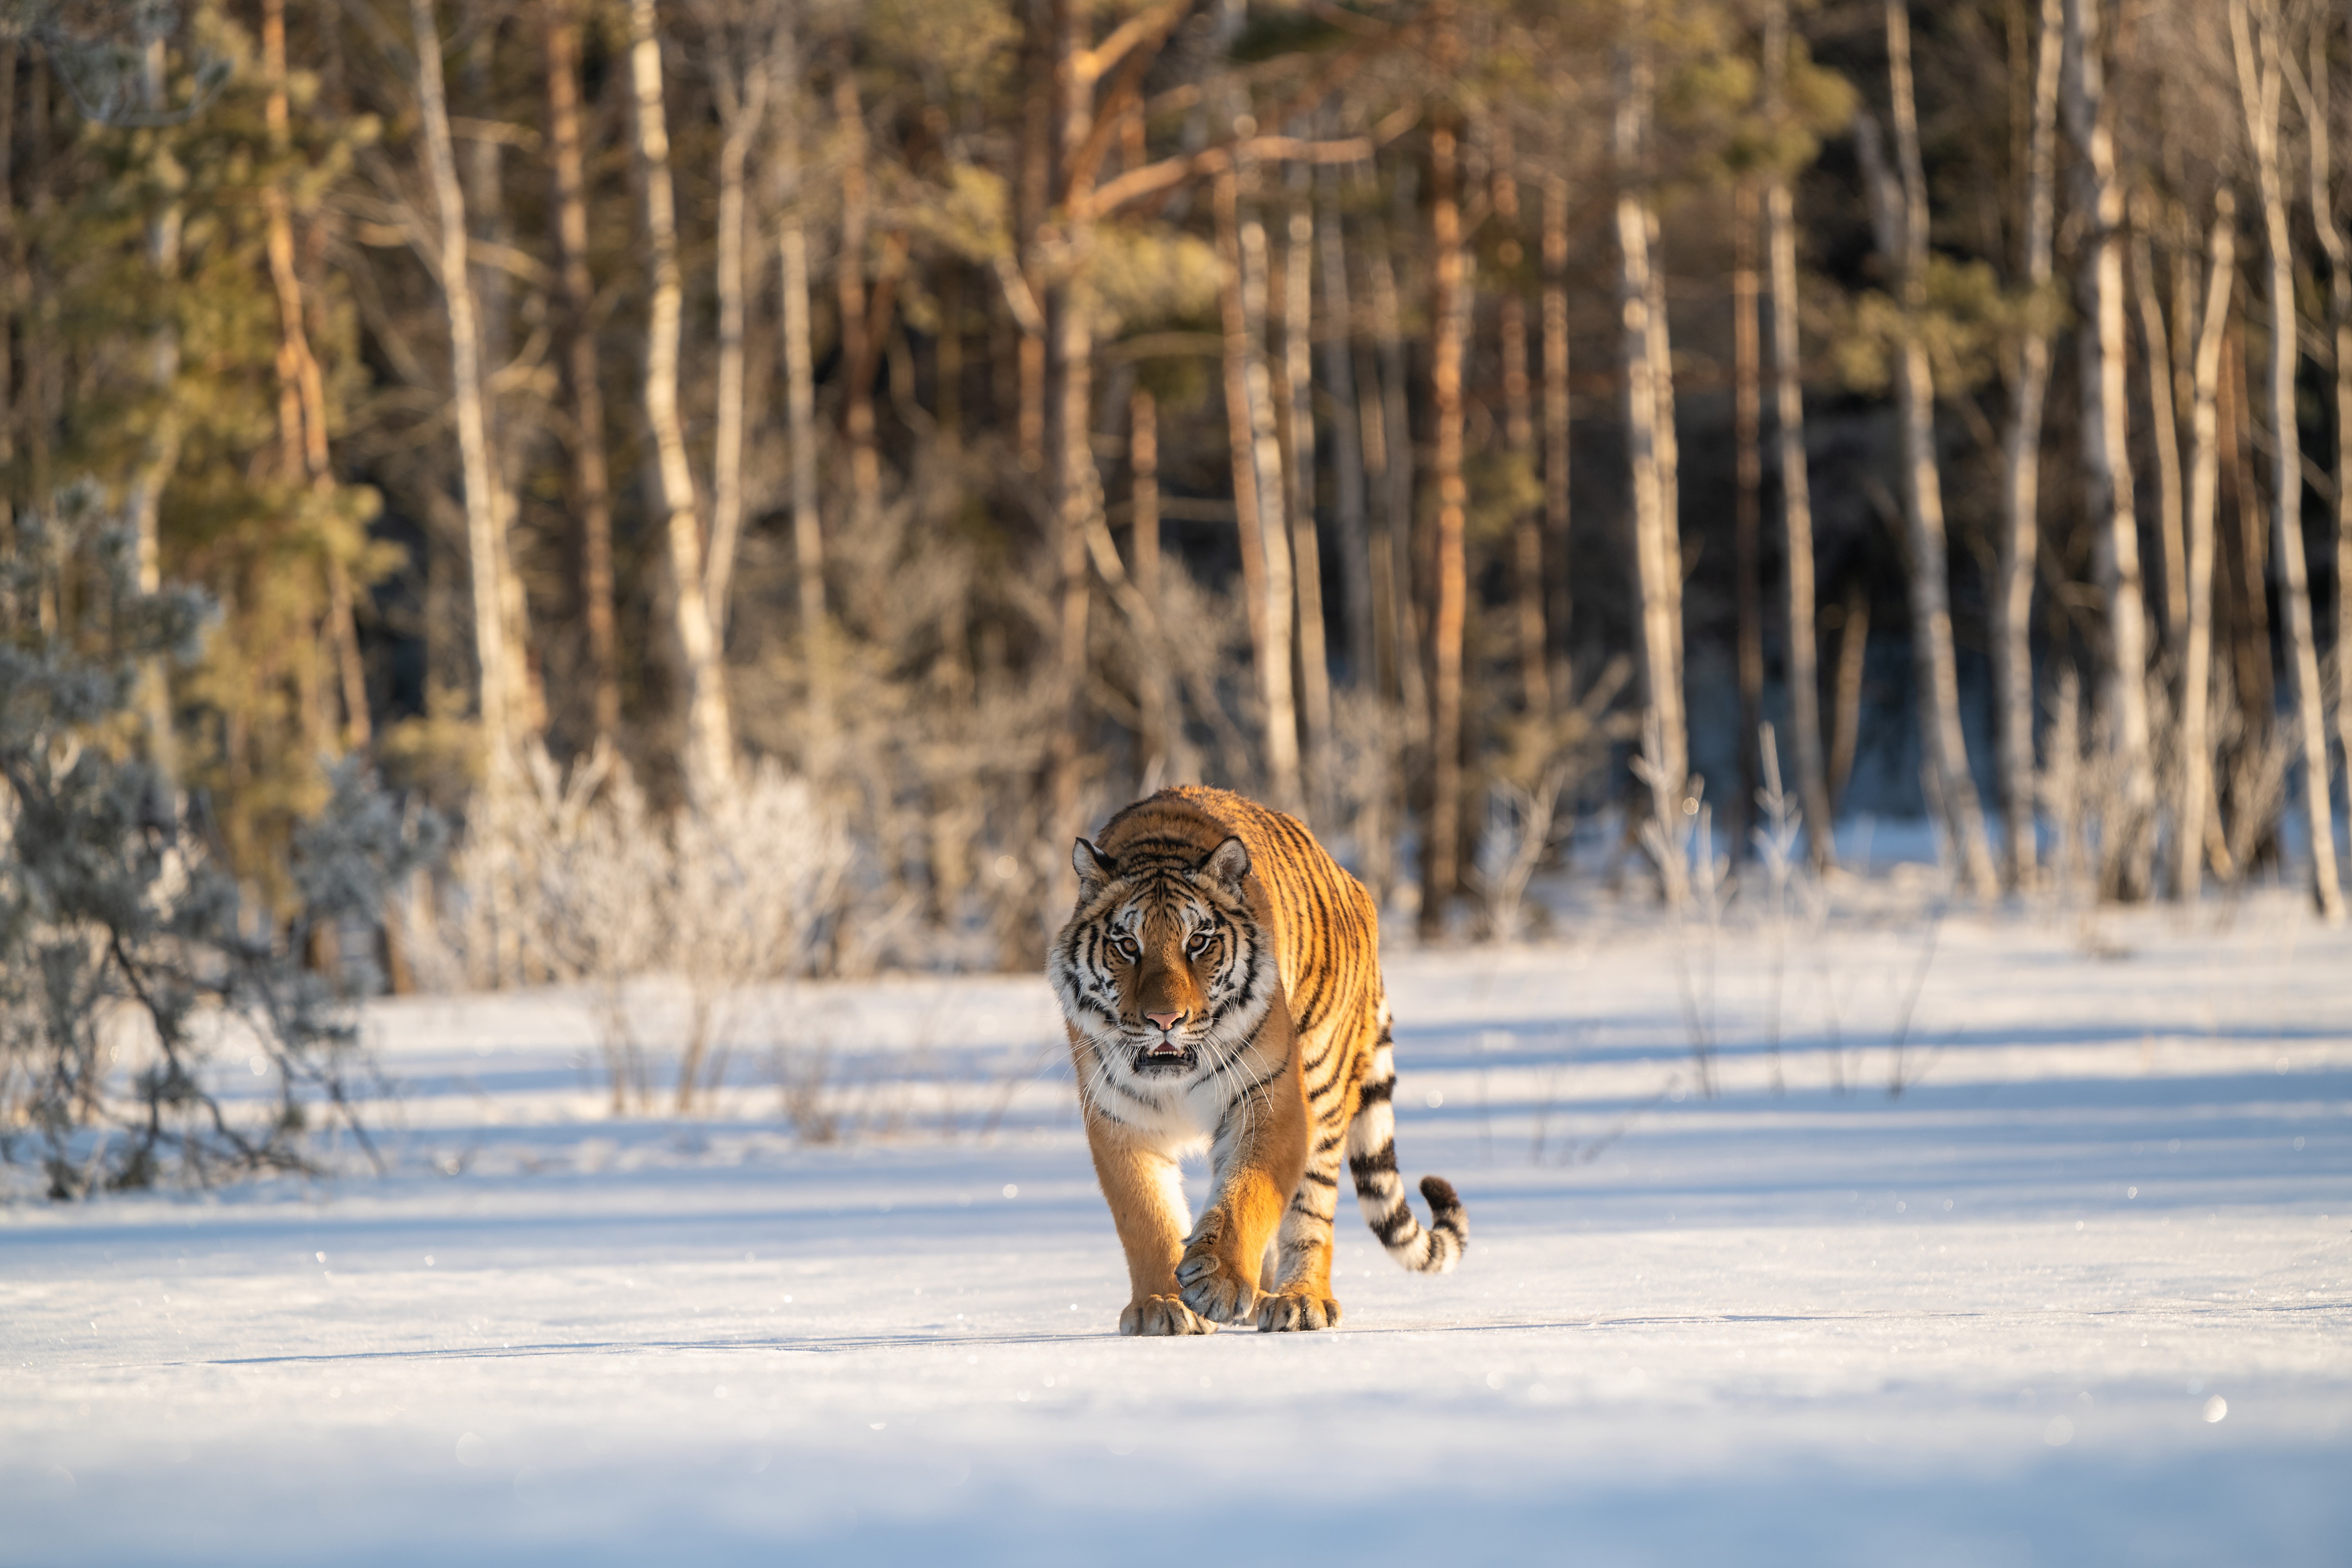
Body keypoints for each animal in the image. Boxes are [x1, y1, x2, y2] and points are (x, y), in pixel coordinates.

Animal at [1044, 785, 1458, 1335]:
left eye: (1198, 942)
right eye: (1128, 946)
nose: (1164, 1019)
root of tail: (1352, 882)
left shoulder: (1272, 1098)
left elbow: (1248, 1192)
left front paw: (1218, 1283)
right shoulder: (1119, 1119)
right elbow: (1146, 1216)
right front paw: (1161, 1305)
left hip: (1324, 1088)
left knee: (1311, 1212)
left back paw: (1299, 1300)